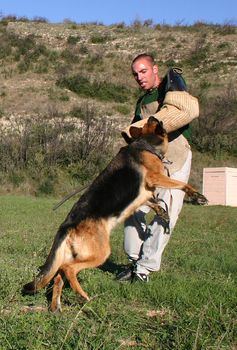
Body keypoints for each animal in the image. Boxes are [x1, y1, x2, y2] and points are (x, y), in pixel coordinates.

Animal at [22, 117, 207, 312]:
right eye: (153, 122)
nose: (153, 117)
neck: (144, 144)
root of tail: (67, 224)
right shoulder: (155, 177)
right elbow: (181, 184)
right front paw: (197, 195)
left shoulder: (145, 194)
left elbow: (152, 201)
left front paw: (162, 212)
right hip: (100, 253)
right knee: (68, 269)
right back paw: (83, 296)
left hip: (72, 255)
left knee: (58, 275)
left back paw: (56, 307)